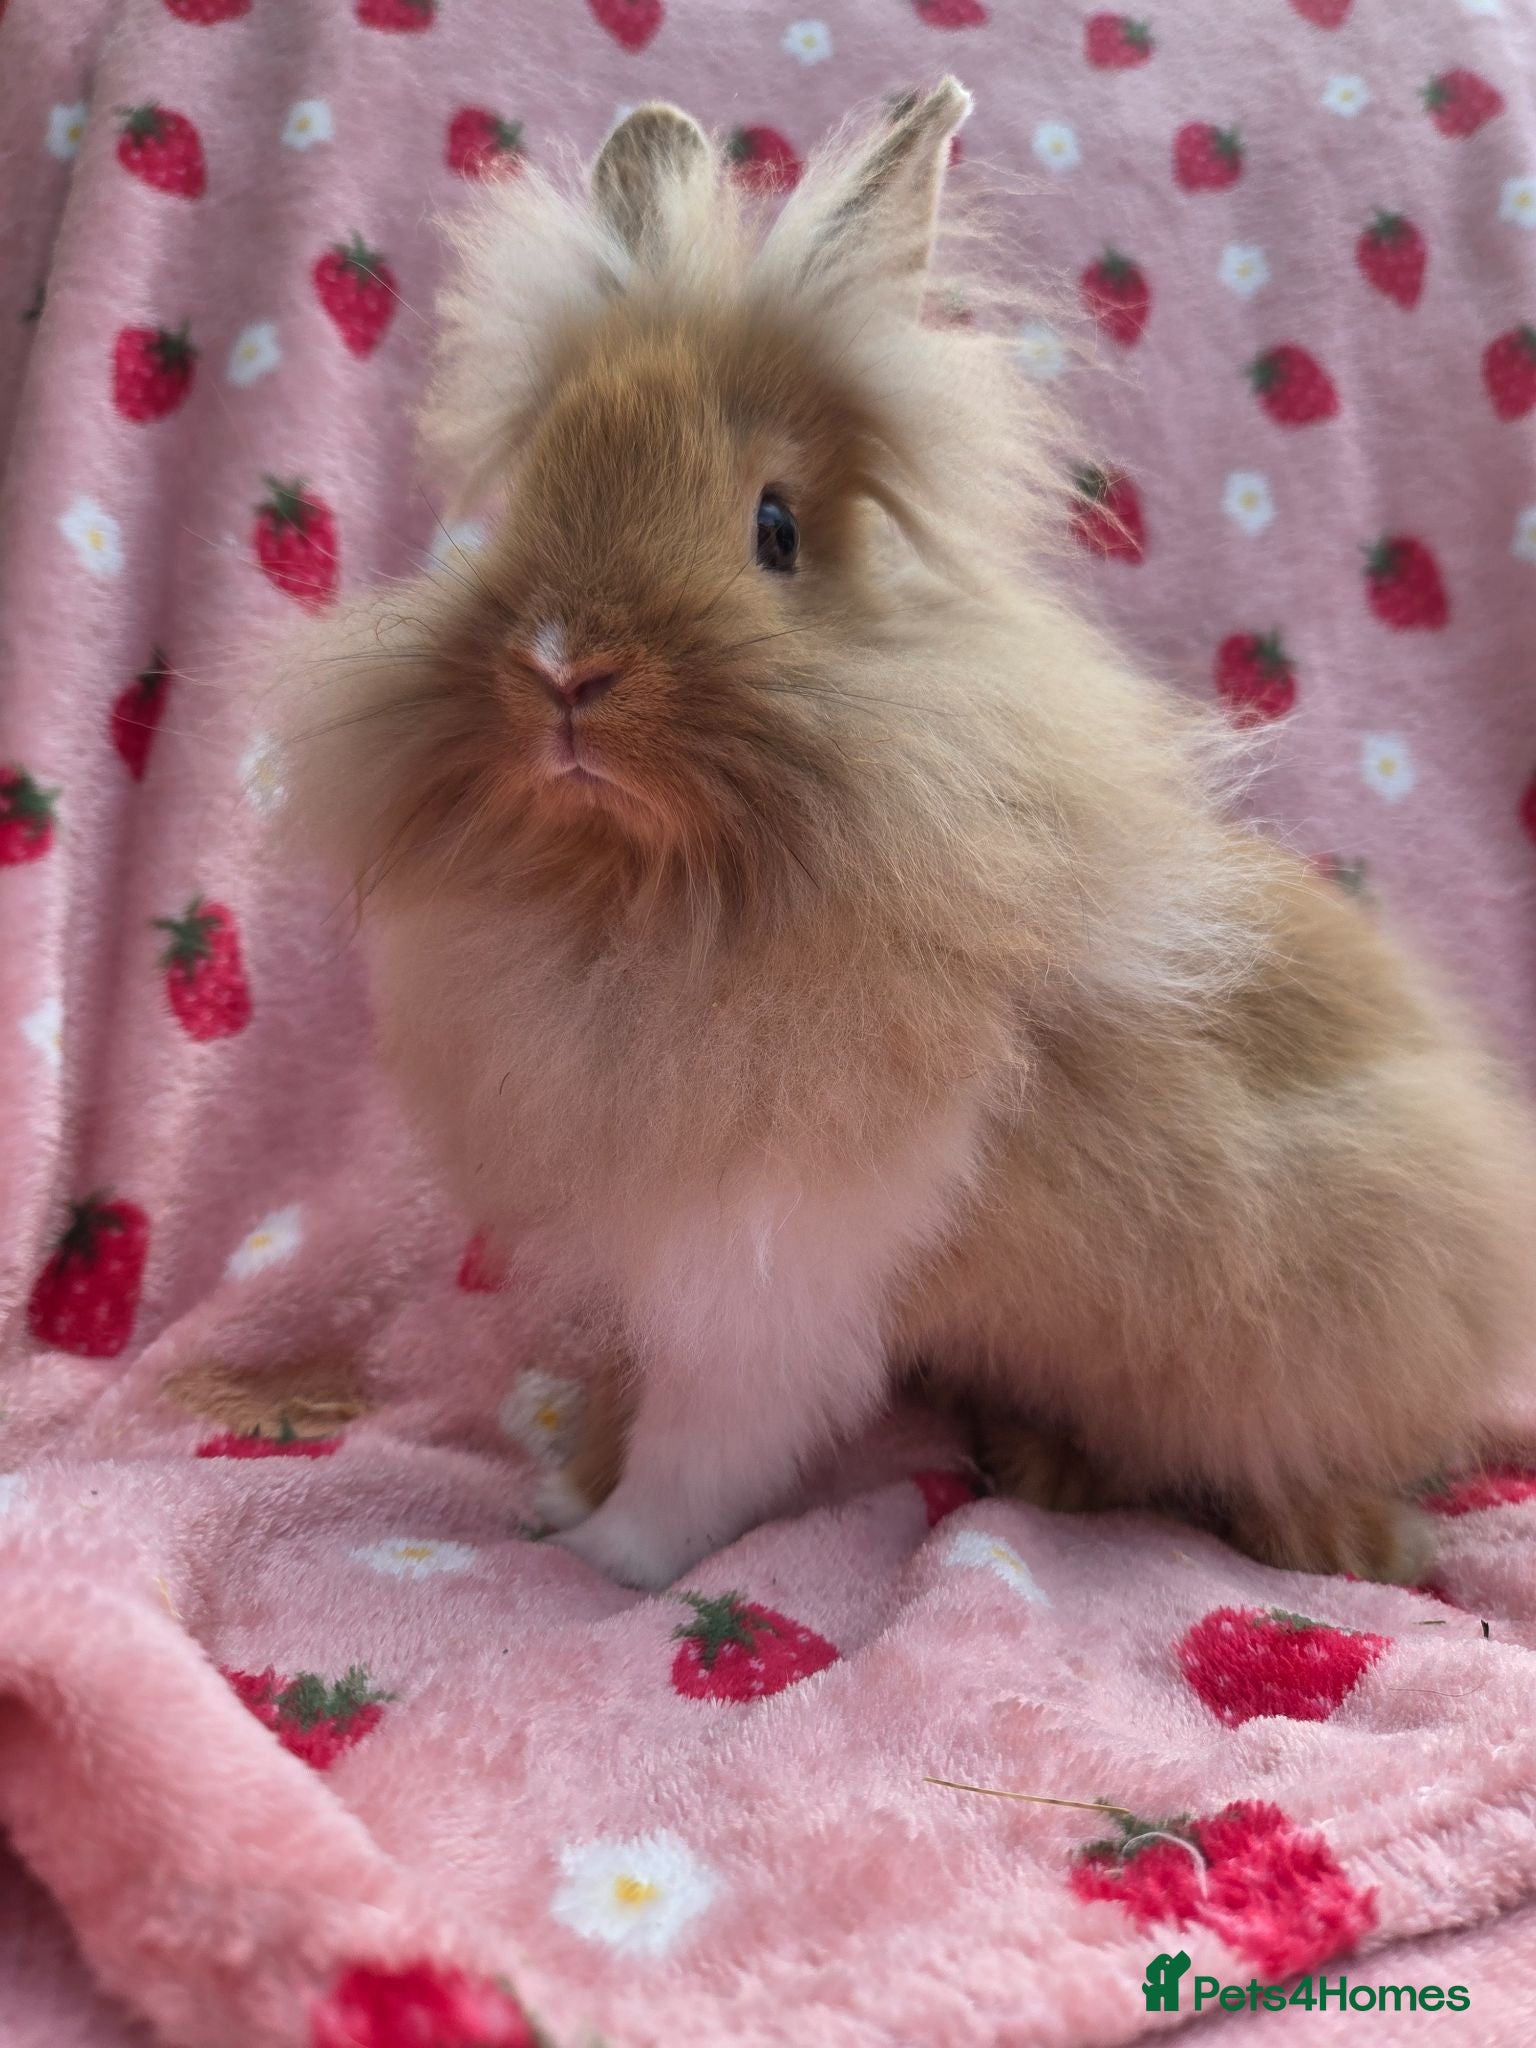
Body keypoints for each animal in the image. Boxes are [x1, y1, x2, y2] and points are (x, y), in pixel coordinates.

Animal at [279, 80, 1536, 1591]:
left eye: (774, 529)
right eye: (534, 490)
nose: (563, 666)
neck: (656, 895)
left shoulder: (772, 1277)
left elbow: (705, 1447)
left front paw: (610, 1556)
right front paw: (564, 1485)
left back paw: (1331, 1535)